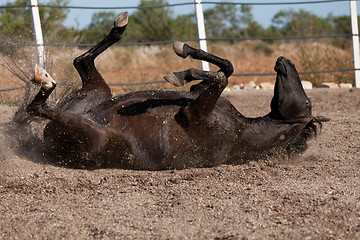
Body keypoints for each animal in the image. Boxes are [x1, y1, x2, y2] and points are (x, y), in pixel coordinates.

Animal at [26, 12, 324, 170]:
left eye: (308, 102)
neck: (243, 130)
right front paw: (185, 56)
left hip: (91, 132)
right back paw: (119, 26)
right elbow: (226, 69)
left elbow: (221, 78)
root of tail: (48, 140)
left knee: (37, 106)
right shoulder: (198, 95)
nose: (284, 60)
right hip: (98, 92)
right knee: (81, 61)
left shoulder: (194, 114)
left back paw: (46, 81)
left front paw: (181, 72)